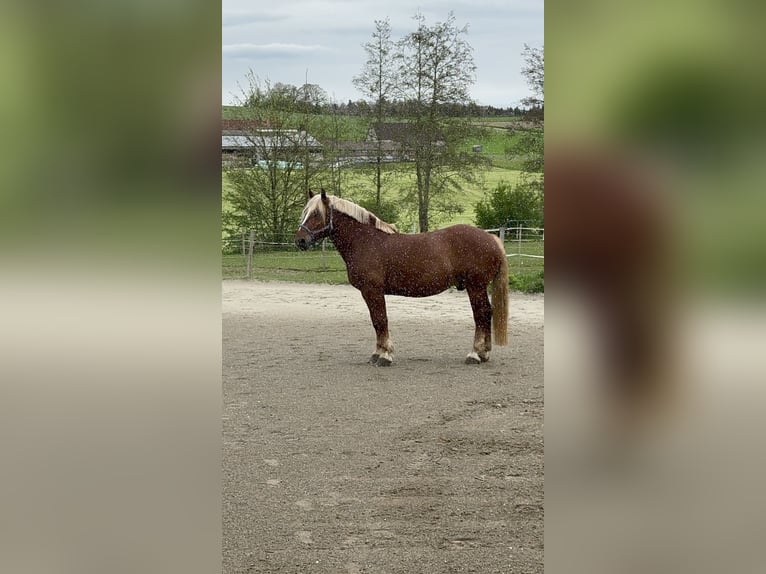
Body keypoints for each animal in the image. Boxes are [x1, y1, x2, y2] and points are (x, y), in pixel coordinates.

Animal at [296, 191, 510, 366]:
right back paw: (484, 354)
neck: (365, 241)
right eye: (304, 212)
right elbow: (376, 321)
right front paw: (377, 353)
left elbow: (380, 320)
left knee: (481, 314)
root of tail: (492, 239)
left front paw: (384, 356)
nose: (300, 241)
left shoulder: (372, 290)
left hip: (475, 287)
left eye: (316, 214)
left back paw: (474, 354)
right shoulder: (370, 292)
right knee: (487, 313)